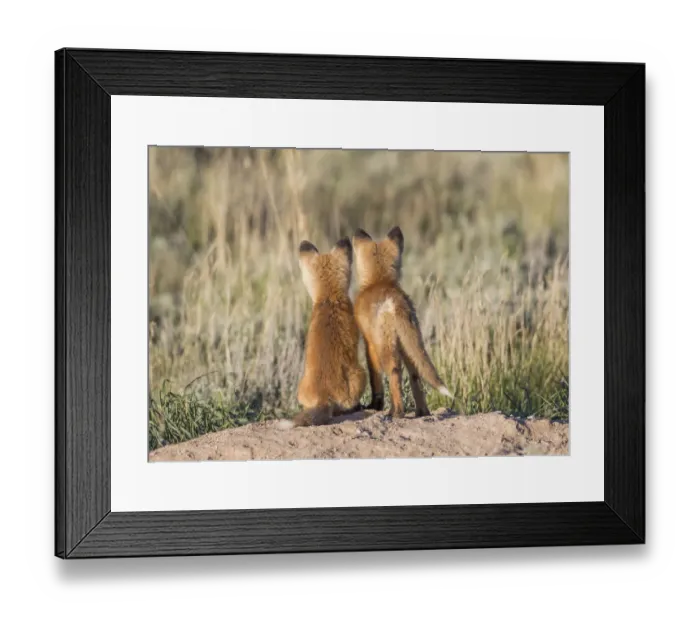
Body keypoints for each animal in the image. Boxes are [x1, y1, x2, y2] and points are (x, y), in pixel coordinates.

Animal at [352, 226, 451, 420]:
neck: (379, 280)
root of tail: (396, 302)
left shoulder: (369, 344)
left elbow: (375, 379)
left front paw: (375, 405)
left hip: (386, 348)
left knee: (394, 375)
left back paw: (396, 413)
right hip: (409, 345)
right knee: (415, 376)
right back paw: (422, 412)